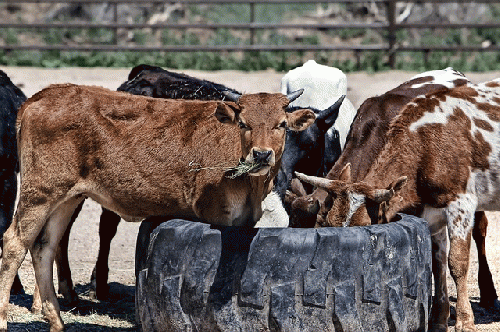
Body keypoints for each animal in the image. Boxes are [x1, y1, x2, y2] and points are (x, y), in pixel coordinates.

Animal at [0, 83, 314, 332]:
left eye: (281, 124)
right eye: (243, 123)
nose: (261, 154)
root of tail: (43, 96)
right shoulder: (217, 214)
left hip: (66, 198)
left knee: (45, 247)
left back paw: (57, 322)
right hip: (40, 192)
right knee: (14, 243)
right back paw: (4, 320)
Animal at [294, 76, 500, 330]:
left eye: (365, 228)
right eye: (330, 225)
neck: (426, 144)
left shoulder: (461, 204)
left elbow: (457, 262)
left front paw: (464, 320)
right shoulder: (432, 214)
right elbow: (437, 264)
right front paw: (439, 319)